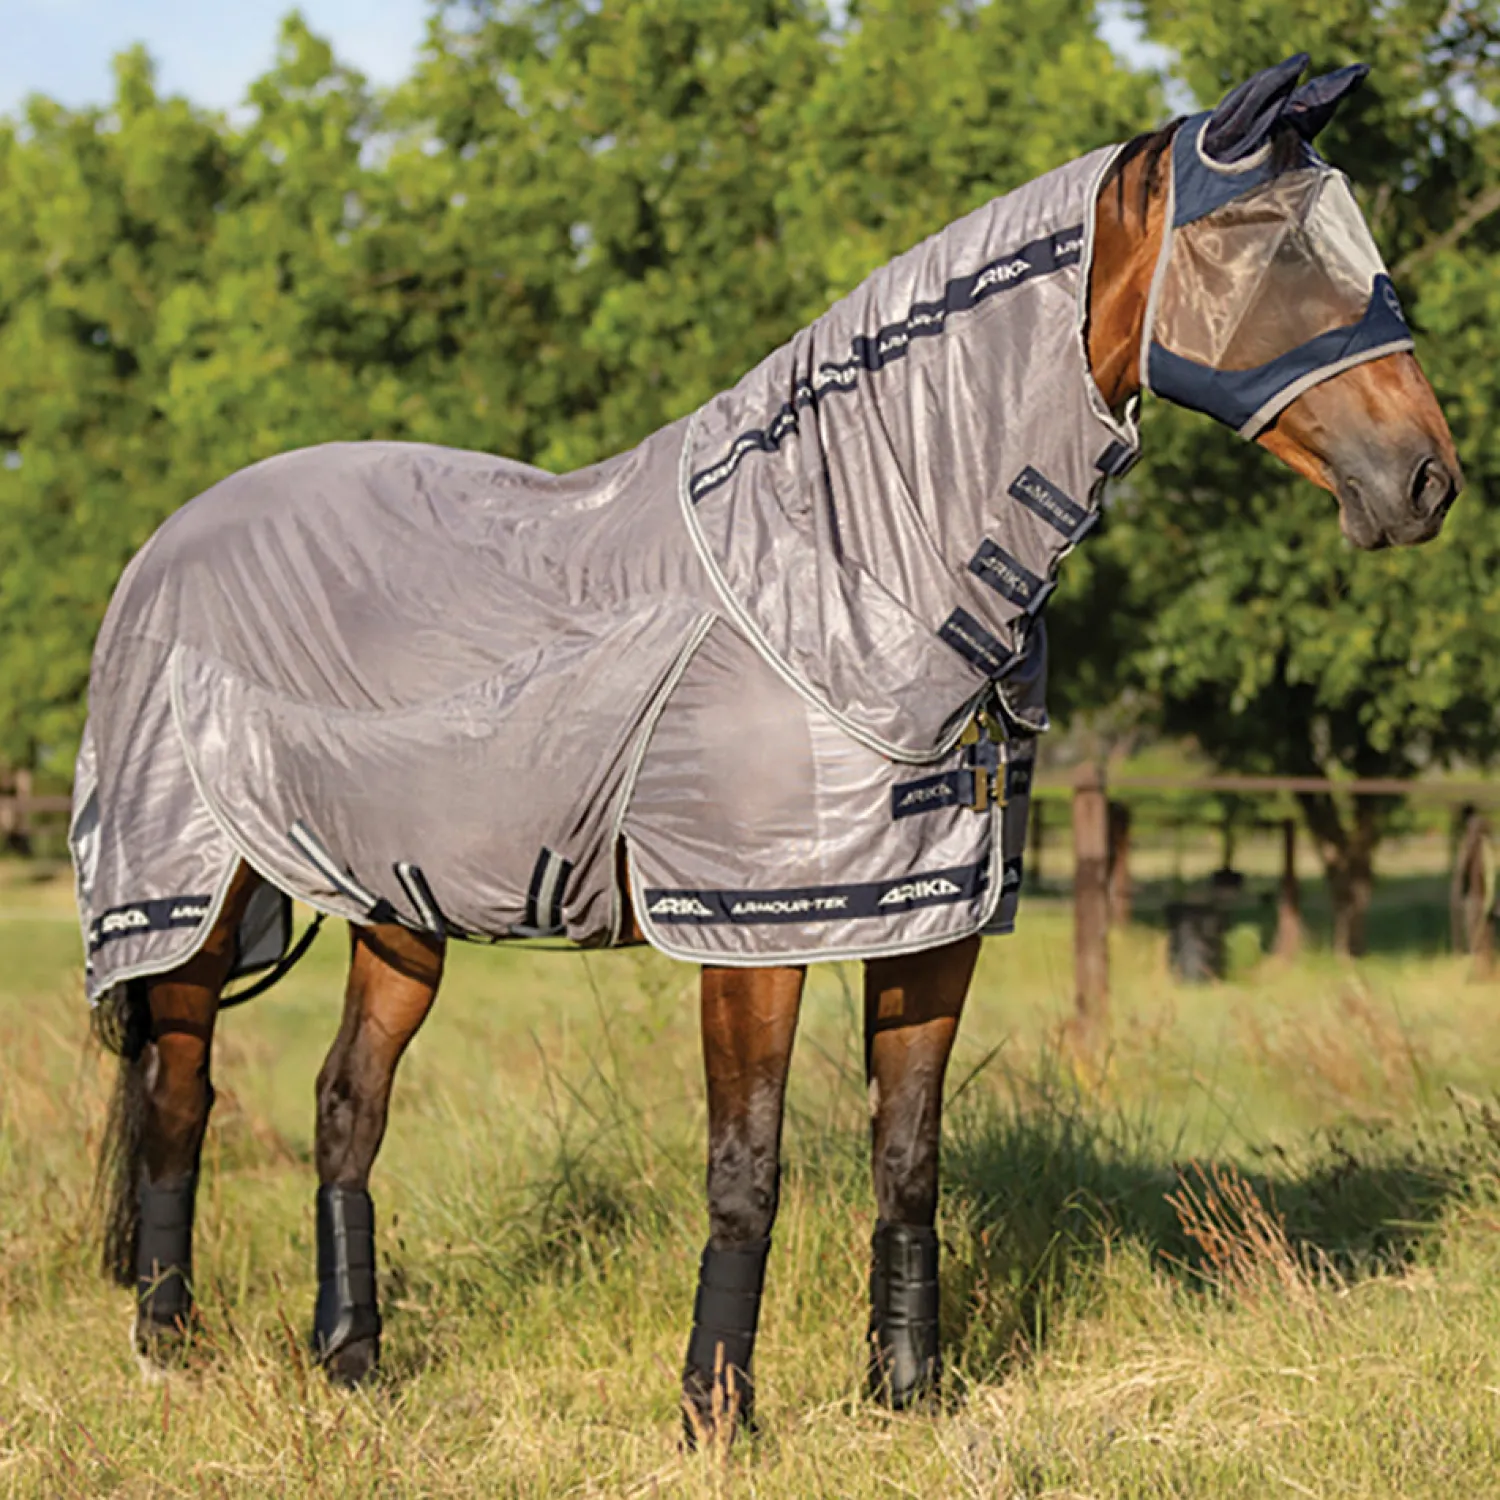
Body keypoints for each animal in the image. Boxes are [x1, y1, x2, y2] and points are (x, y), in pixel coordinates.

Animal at [76, 55, 1460, 1443]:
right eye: (1275, 249)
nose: (1428, 483)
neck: (853, 566)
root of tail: (168, 540)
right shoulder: (753, 928)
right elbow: (748, 1169)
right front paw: (715, 1411)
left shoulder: (929, 919)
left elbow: (909, 1158)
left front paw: (906, 1394)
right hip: (189, 892)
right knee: (182, 1092)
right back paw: (165, 1343)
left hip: (395, 903)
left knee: (344, 1105)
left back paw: (351, 1356)